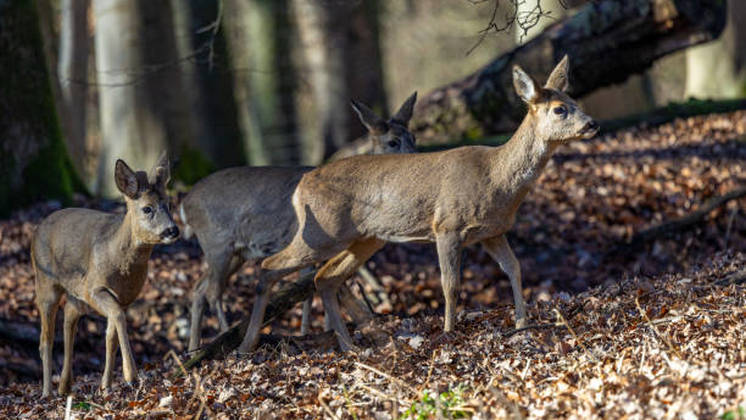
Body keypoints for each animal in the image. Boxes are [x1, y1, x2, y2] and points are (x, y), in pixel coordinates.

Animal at [32, 153, 179, 396]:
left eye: (168, 204)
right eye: (147, 208)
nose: (173, 230)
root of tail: (37, 229)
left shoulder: (125, 298)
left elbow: (111, 335)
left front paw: (106, 385)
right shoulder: (95, 287)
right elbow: (117, 319)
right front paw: (131, 375)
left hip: (77, 294)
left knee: (69, 316)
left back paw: (65, 385)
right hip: (45, 282)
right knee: (45, 338)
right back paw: (47, 392)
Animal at [177, 93, 416, 352]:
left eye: (413, 138)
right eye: (392, 142)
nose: (414, 160)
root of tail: (184, 204)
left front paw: (317, 331)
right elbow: (323, 285)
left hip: (236, 253)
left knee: (199, 288)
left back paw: (194, 348)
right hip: (217, 245)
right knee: (212, 292)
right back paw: (223, 337)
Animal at [262, 56, 600, 352]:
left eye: (576, 102)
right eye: (559, 109)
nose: (593, 123)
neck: (495, 177)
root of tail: (301, 186)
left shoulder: (492, 231)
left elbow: (514, 269)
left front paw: (521, 324)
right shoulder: (447, 225)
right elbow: (450, 284)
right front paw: (450, 331)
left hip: (366, 239)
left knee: (325, 278)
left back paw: (349, 347)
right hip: (322, 231)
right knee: (270, 266)